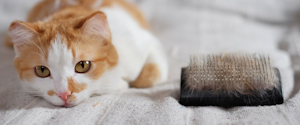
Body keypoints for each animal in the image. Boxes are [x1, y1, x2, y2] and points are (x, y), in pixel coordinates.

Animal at [6, 0, 169, 107]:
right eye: (42, 70)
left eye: (83, 66)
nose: (64, 94)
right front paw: (120, 84)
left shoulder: (143, 42)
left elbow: (150, 76)